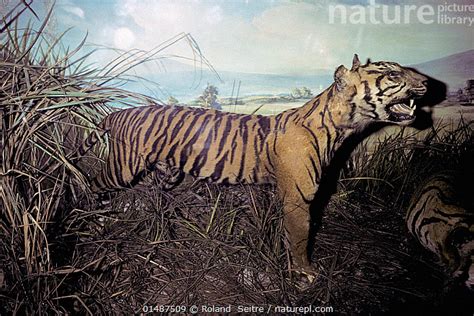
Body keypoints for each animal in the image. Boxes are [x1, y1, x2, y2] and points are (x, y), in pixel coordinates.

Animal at [80, 54, 430, 274]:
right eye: (393, 74)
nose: (427, 83)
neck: (341, 126)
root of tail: (118, 112)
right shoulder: (298, 198)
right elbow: (301, 239)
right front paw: (307, 274)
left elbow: (288, 236)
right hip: (123, 168)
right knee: (91, 183)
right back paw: (93, 219)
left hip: (168, 171)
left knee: (156, 196)